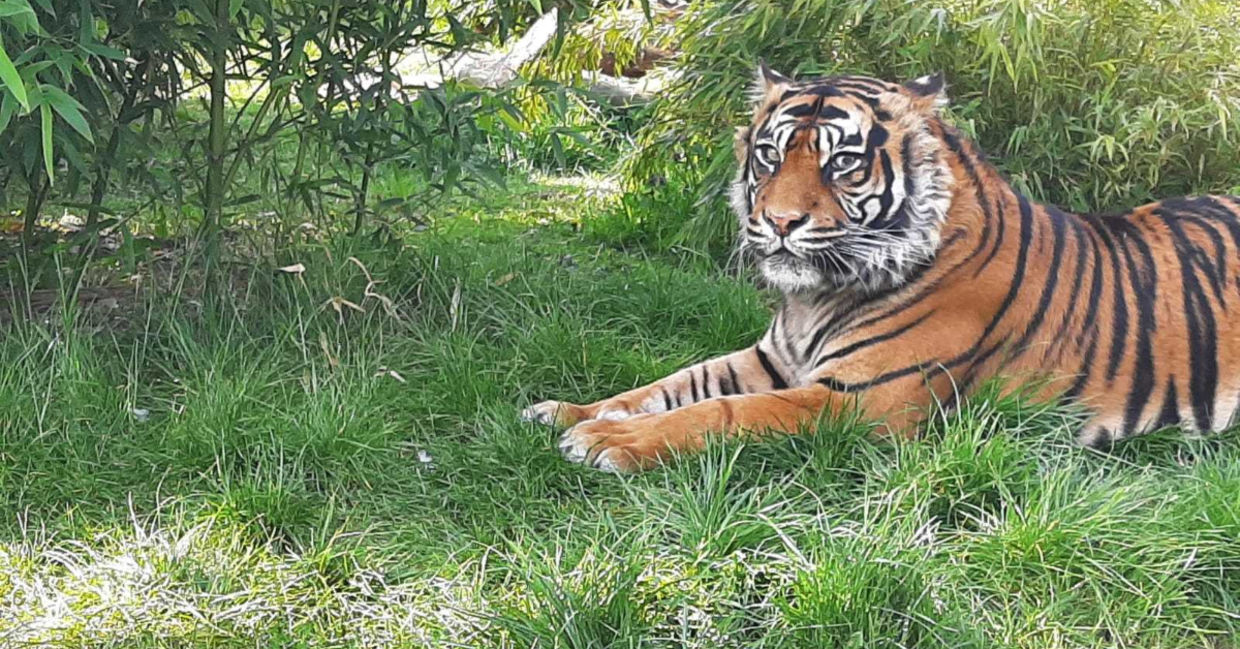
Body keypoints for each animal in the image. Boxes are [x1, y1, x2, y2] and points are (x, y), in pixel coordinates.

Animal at [521, 63, 1240, 473]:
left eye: (842, 163)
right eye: (769, 155)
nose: (779, 222)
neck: (815, 297)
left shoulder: (861, 401)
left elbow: (724, 413)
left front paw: (607, 442)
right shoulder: (768, 359)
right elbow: (665, 385)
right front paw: (567, 411)